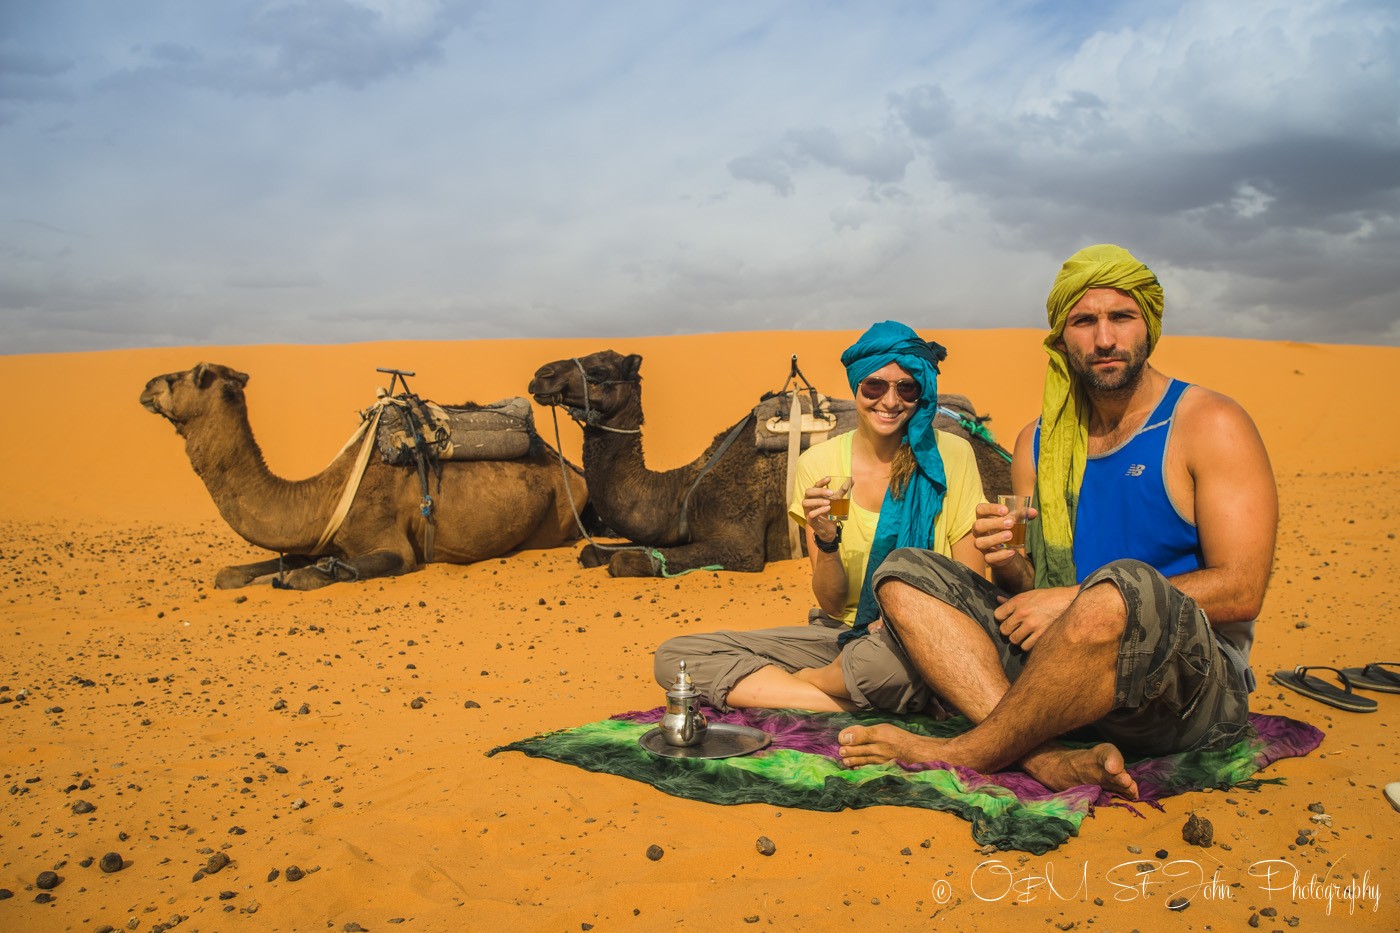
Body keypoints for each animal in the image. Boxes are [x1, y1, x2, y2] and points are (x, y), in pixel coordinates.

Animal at [146, 358, 590, 585]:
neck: (323, 495)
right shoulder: (316, 540)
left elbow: (306, 577)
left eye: (192, 376)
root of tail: (573, 472)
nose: (148, 385)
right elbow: (235, 573)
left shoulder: (389, 544)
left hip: (555, 520)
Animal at [529, 348, 1013, 574]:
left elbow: (629, 561)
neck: (683, 489)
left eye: (598, 372)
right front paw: (595, 550)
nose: (541, 375)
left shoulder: (741, 542)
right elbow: (598, 552)